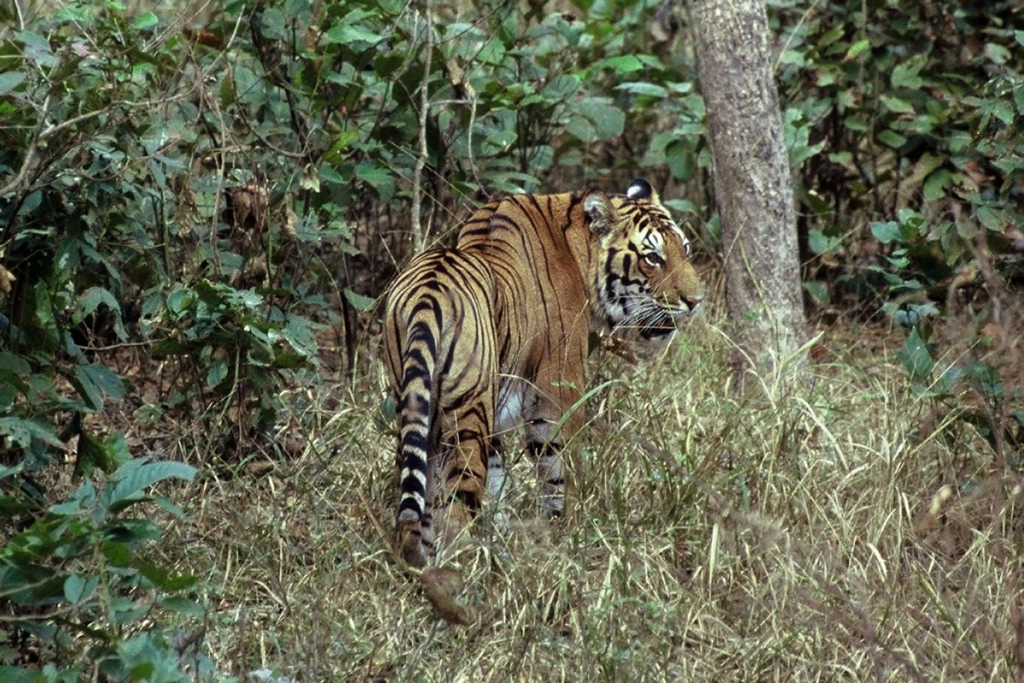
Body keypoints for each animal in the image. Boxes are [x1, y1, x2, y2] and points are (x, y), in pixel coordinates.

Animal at [383, 177, 703, 567]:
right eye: (653, 257)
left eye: (684, 249)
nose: (696, 302)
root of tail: (427, 297)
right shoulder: (558, 396)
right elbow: (560, 473)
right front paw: (566, 534)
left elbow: (498, 481)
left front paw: (507, 538)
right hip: (466, 414)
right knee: (456, 507)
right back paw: (462, 569)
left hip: (414, 407)